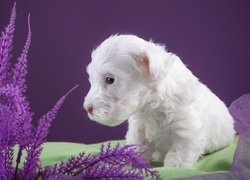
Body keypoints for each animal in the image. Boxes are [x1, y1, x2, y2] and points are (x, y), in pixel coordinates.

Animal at [84, 34, 234, 167]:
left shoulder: (188, 130)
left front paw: (174, 166)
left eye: (110, 80)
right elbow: (137, 146)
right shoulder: (139, 128)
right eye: (91, 80)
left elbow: (179, 153)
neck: (152, 105)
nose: (88, 108)